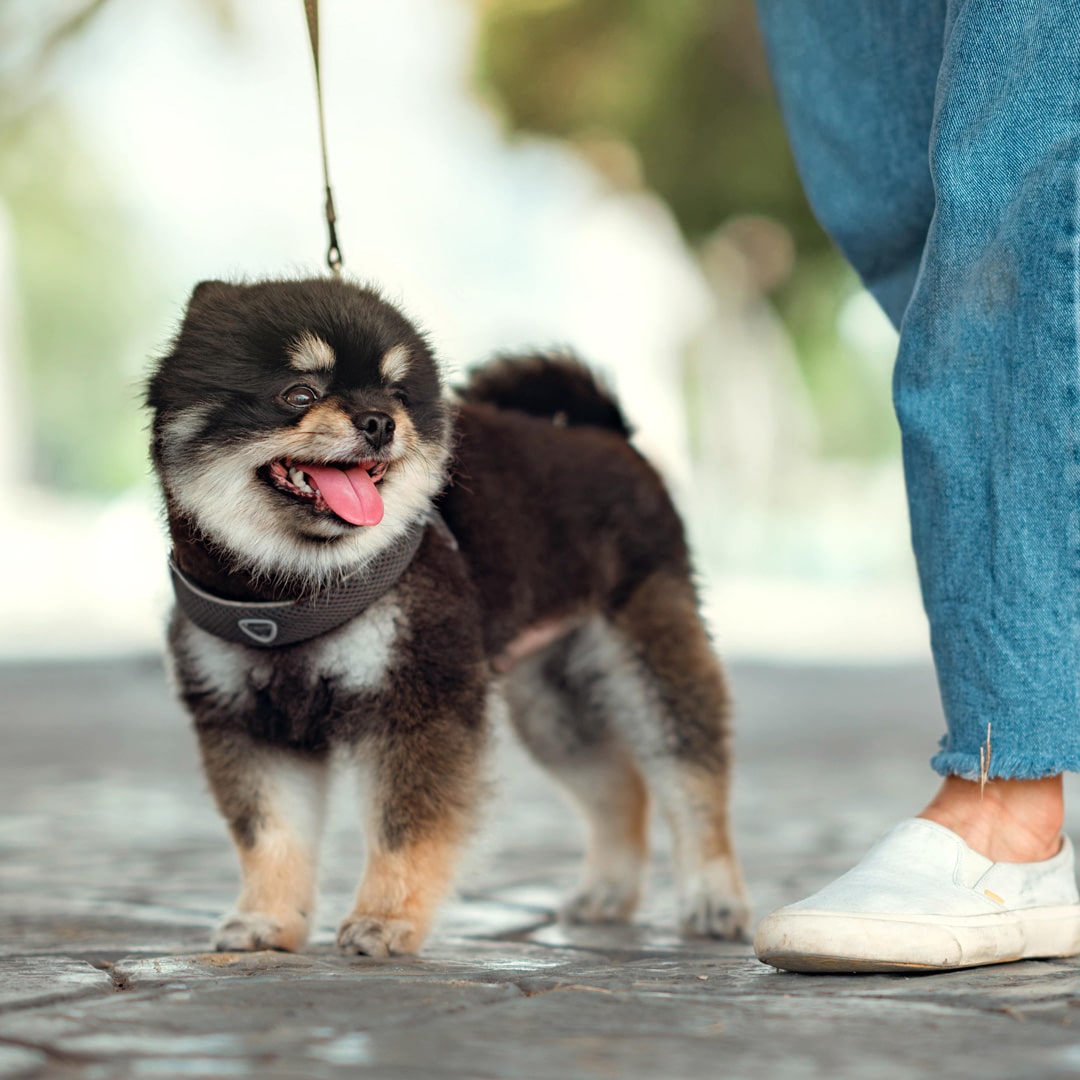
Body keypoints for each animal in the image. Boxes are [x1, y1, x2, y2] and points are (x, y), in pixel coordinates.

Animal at [145, 276, 751, 954]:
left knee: (690, 781)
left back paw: (714, 898)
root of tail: (612, 438)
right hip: (557, 705)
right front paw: (267, 920)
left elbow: (404, 825)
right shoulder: (250, 723)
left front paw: (386, 919)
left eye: (397, 394)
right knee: (620, 788)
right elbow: (271, 836)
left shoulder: (418, 702)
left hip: (647, 665)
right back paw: (607, 892)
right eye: (299, 393)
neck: (286, 588)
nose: (380, 421)